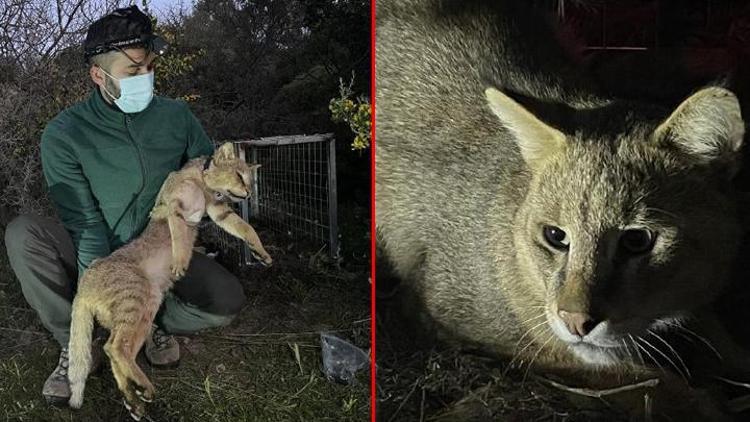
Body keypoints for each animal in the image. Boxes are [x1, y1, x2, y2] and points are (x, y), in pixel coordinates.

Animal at [67, 143, 274, 418]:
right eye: (240, 176)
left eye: (251, 180)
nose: (249, 193)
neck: (203, 183)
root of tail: (84, 283)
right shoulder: (173, 204)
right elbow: (177, 232)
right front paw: (179, 260)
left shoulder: (219, 212)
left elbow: (246, 229)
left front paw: (262, 253)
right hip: (135, 301)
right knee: (114, 348)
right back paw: (143, 388)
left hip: (145, 312)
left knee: (118, 352)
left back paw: (134, 396)